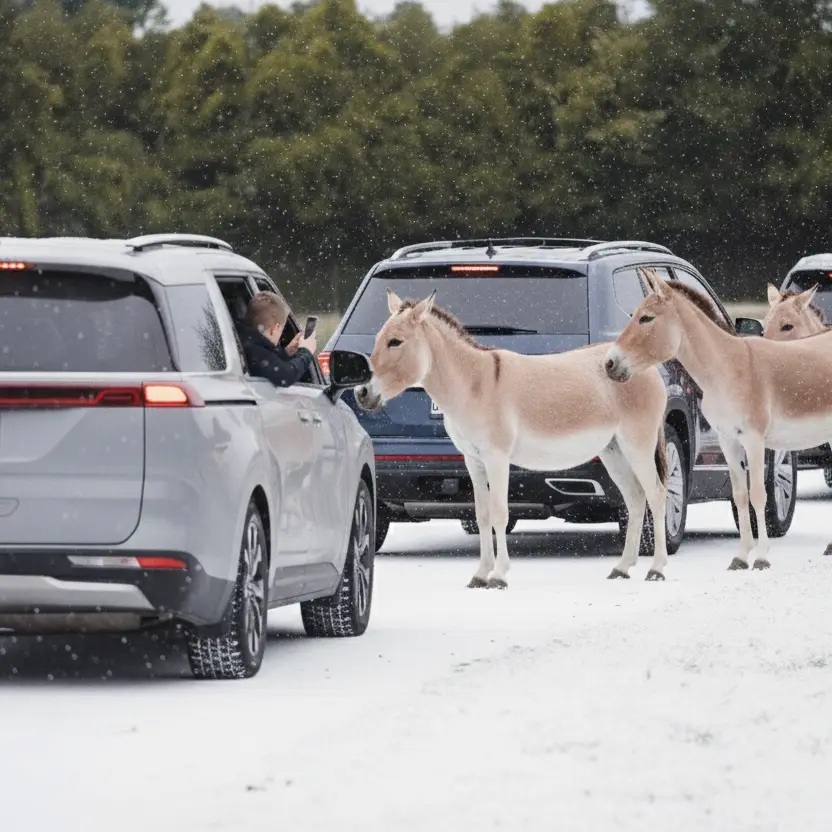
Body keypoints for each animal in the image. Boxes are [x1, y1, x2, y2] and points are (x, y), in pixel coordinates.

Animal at [354, 287, 672, 588]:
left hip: (637, 443)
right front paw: (480, 574)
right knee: (635, 498)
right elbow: (481, 515)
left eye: (395, 342)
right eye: (378, 339)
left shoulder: (497, 457)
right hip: (613, 449)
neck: (474, 386)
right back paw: (622, 568)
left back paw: (656, 569)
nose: (361, 393)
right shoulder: (472, 460)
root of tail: (649, 369)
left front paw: (499, 576)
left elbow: (499, 513)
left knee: (657, 494)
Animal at [605, 267, 832, 569]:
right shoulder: (728, 440)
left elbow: (758, 494)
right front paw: (741, 557)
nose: (609, 363)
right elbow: (740, 494)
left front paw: (761, 557)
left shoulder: (755, 440)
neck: (729, 369)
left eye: (646, 318)